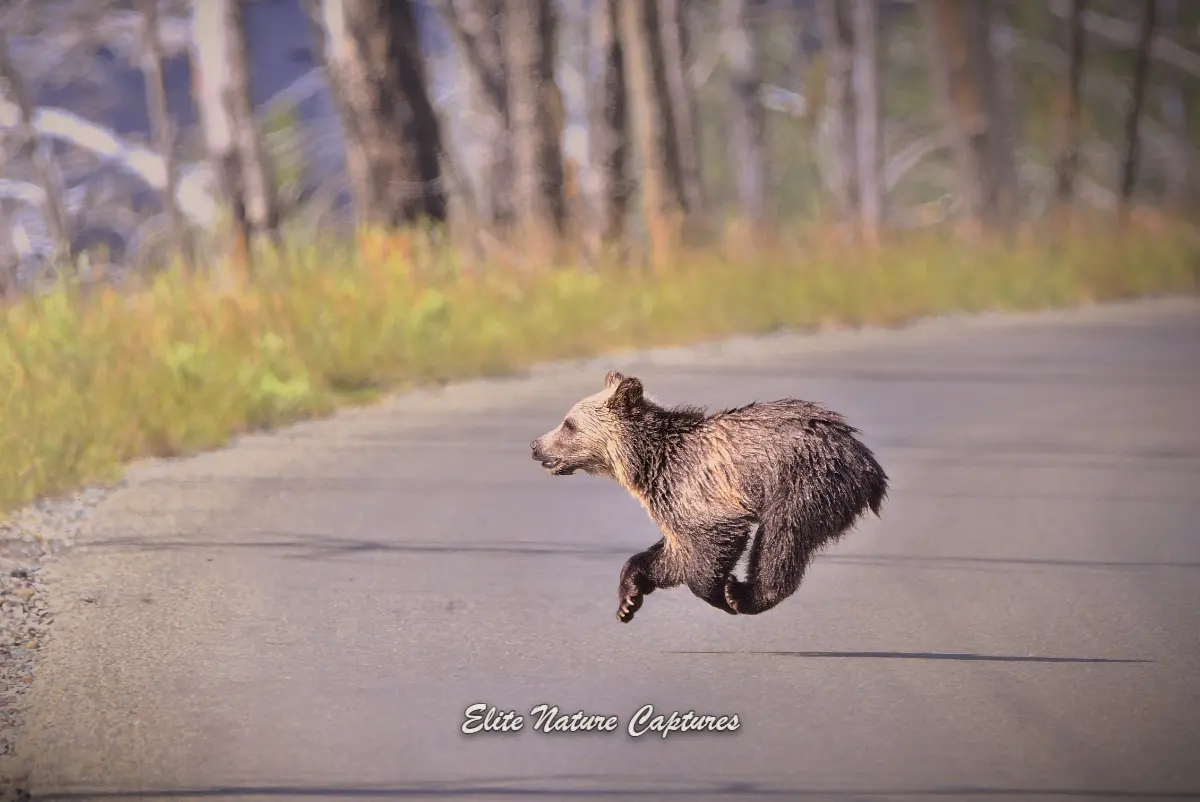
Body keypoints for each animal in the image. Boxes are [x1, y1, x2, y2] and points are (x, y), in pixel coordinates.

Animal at [530, 370, 889, 623]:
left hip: (804, 482)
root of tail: (868, 463)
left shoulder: (695, 489)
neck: (646, 462)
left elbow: (712, 542)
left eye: (568, 424)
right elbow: (674, 554)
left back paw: (745, 595)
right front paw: (628, 600)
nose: (535, 445)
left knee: (781, 538)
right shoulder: (672, 501)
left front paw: (722, 594)